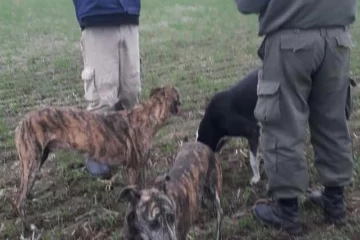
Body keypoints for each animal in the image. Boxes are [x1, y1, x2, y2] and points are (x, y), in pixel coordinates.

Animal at [13, 85, 183, 222]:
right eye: (177, 96)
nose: (183, 104)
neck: (147, 117)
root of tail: (21, 123)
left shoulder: (140, 167)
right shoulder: (133, 168)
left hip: (39, 159)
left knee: (24, 190)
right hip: (32, 162)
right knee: (19, 198)